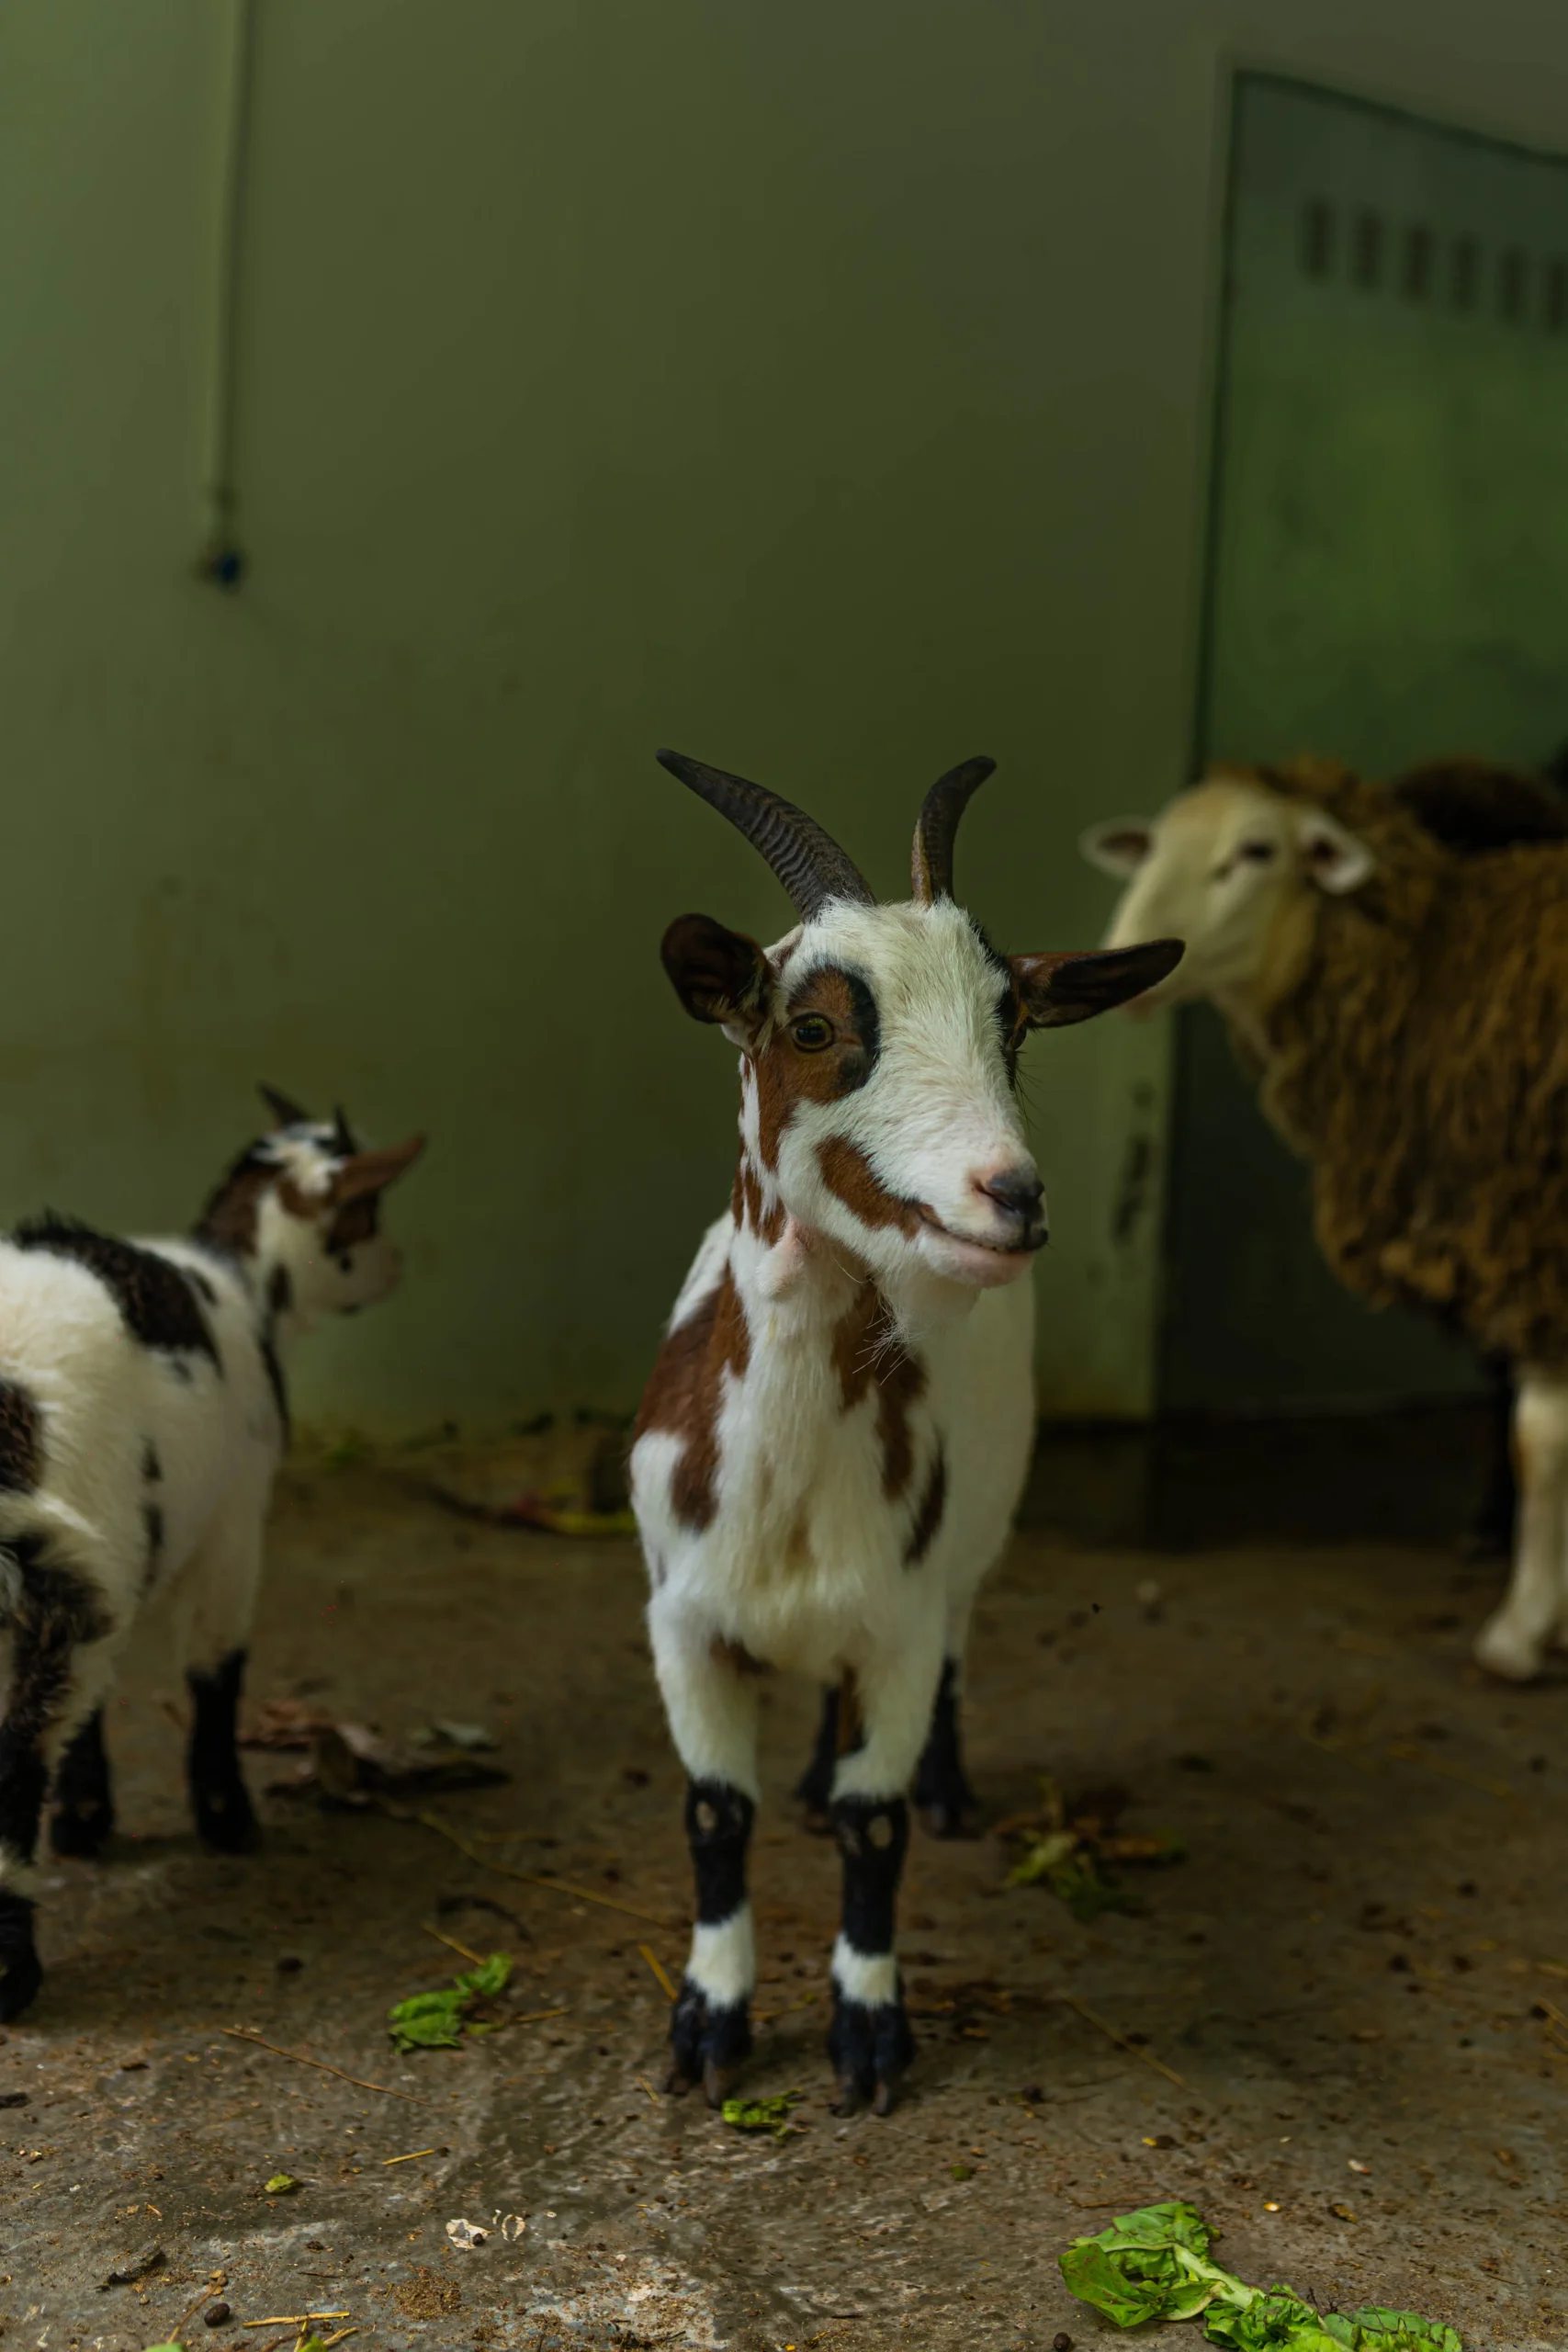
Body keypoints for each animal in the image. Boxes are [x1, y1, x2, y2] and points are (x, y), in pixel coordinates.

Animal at [0, 1087, 424, 2019]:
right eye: (371, 1211)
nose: (398, 1265)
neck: (231, 1279)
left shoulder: (119, 1558)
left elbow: (100, 1702)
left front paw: (85, 1816)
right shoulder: (233, 1524)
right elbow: (215, 1668)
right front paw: (226, 1812)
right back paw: (11, 1977)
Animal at [632, 748, 1181, 2113]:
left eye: (1013, 1022)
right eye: (814, 1028)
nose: (1010, 1194)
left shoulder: (901, 1613)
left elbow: (874, 1828)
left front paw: (869, 2031)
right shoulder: (683, 1621)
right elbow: (714, 1814)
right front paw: (709, 2022)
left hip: (974, 1542)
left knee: (957, 1654)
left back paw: (942, 1785)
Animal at [1081, 753, 1568, 1682]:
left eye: (1257, 851)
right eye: (1153, 844)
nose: (1119, 963)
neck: (1437, 972)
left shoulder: (1536, 1239)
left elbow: (1539, 1442)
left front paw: (1520, 1636)